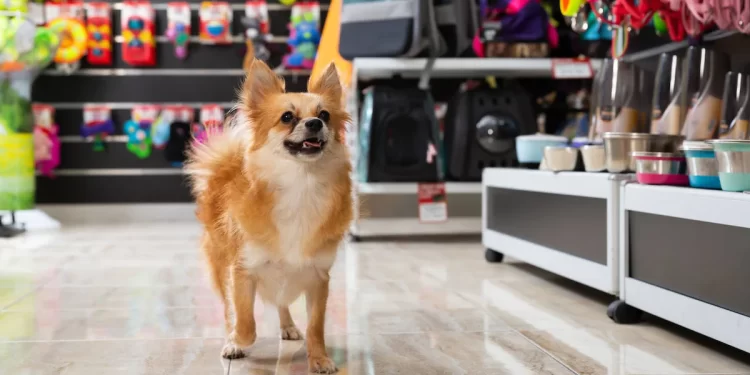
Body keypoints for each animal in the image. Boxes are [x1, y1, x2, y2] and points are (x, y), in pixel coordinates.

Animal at [187, 60, 354, 374]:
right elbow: (245, 322)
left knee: (281, 302)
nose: (315, 123)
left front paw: (319, 358)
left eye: (324, 115)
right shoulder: (242, 271)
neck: (301, 184)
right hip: (221, 265)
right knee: (229, 309)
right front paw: (236, 341)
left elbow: (316, 327)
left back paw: (287, 326)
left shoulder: (318, 278)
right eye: (287, 117)